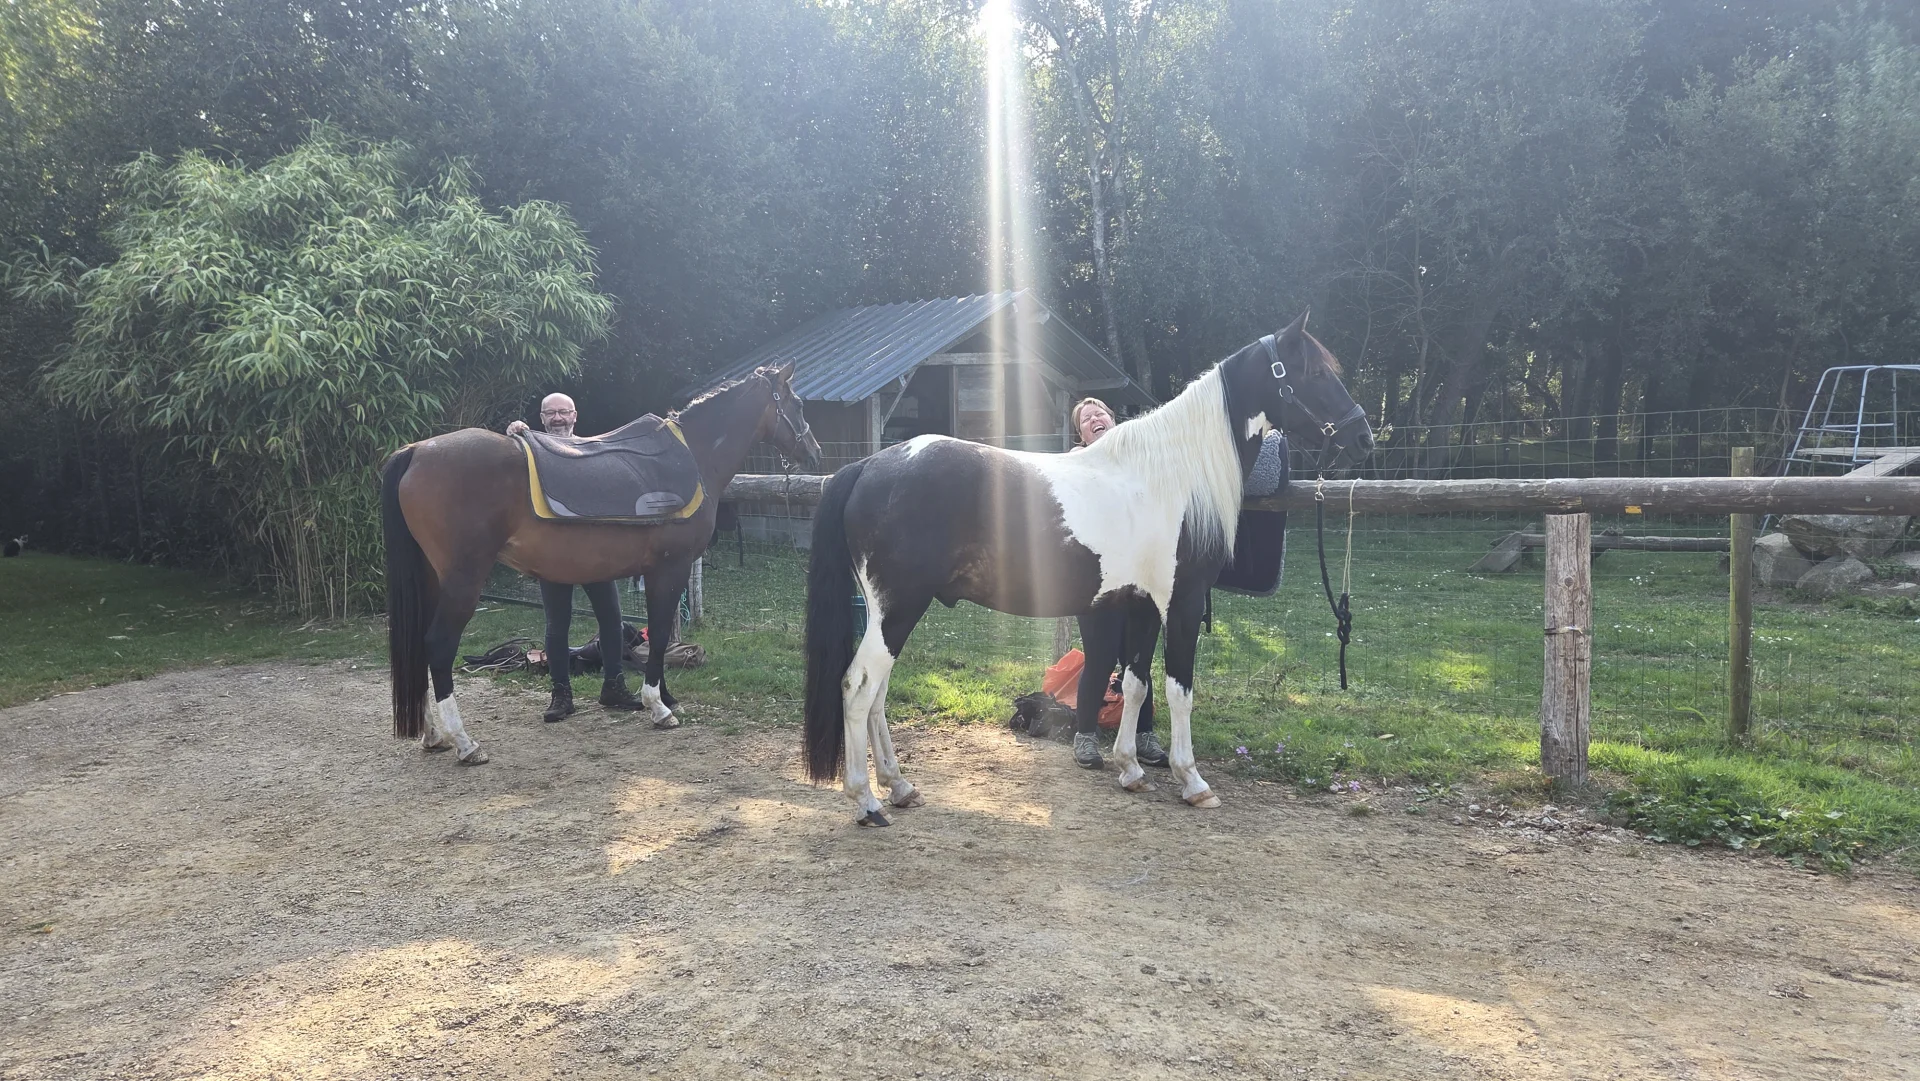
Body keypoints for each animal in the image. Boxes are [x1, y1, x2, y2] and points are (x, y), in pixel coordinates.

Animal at [382, 363, 820, 764]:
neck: (695, 455)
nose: (814, 451)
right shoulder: (670, 568)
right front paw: (658, 706)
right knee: (439, 646)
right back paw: (464, 743)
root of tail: (417, 450)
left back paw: (432, 735)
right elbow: (661, 634)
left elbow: (657, 635)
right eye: (797, 404)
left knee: (419, 645)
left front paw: (665, 697)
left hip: (432, 578)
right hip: (464, 579)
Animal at [800, 312, 1371, 824]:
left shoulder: (1143, 606)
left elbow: (1137, 685)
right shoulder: (1182, 603)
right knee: (858, 687)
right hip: (896, 609)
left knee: (877, 694)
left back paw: (899, 786)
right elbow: (1179, 690)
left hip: (893, 613)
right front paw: (1192, 781)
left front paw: (1131, 770)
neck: (1171, 476)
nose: (1364, 435)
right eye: (1314, 373)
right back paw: (868, 802)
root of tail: (869, 466)